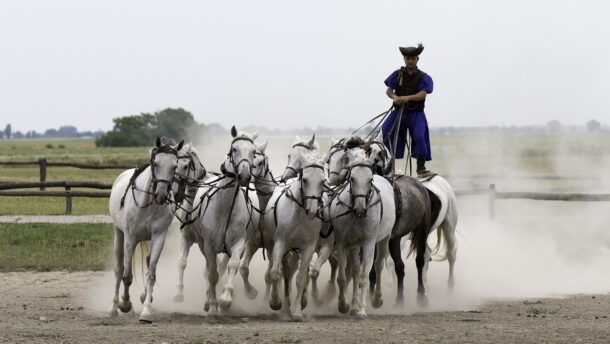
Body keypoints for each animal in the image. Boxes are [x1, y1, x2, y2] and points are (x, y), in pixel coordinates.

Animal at [108, 136, 183, 322]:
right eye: (155, 163)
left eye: (174, 166)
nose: (161, 196)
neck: (148, 203)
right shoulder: (130, 238)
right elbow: (127, 276)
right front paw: (125, 304)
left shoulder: (158, 237)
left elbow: (151, 275)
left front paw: (146, 311)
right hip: (118, 234)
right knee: (119, 270)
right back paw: (113, 308)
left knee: (147, 263)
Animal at [264, 153, 326, 320]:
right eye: (305, 179)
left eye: (322, 181)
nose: (312, 211)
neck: (299, 216)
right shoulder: (280, 243)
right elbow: (275, 273)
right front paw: (275, 302)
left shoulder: (308, 248)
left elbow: (301, 279)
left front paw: (297, 310)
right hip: (276, 246)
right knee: (282, 272)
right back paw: (283, 306)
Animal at [328, 147, 394, 318]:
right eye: (352, 179)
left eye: (370, 180)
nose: (360, 210)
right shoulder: (344, 243)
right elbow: (344, 277)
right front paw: (344, 305)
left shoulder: (369, 242)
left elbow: (365, 276)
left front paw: (362, 311)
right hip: (355, 245)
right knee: (356, 270)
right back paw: (353, 305)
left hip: (384, 239)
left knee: (378, 265)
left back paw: (376, 299)